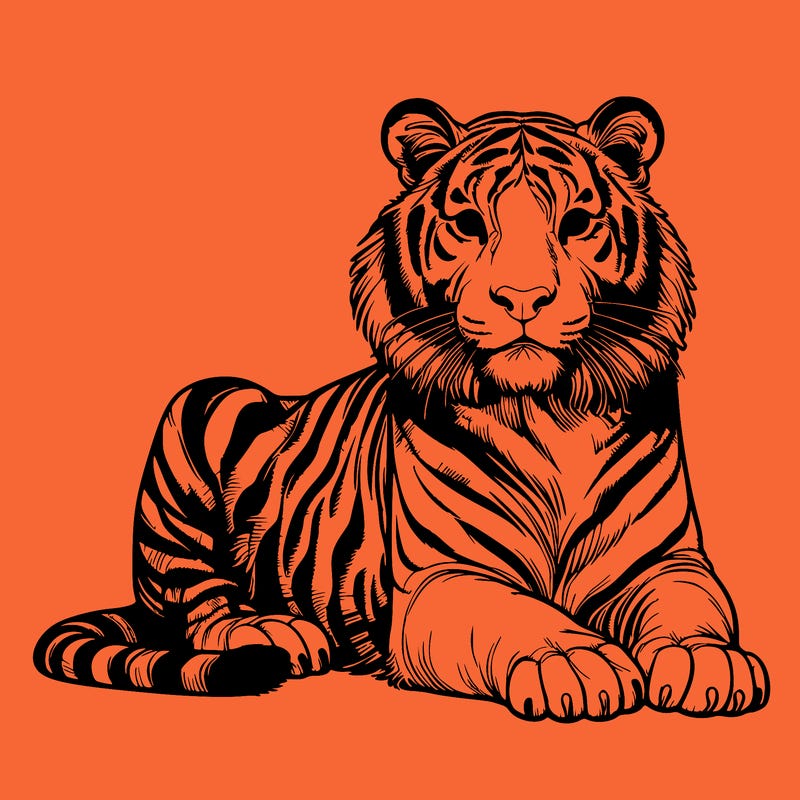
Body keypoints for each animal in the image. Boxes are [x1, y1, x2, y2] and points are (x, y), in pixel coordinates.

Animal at [35, 97, 769, 720]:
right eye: (469, 224)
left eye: (578, 224)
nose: (523, 298)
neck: (550, 411)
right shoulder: (445, 577)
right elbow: (517, 614)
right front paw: (574, 661)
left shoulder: (668, 560)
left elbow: (692, 608)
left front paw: (708, 662)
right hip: (206, 402)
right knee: (199, 603)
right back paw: (275, 631)